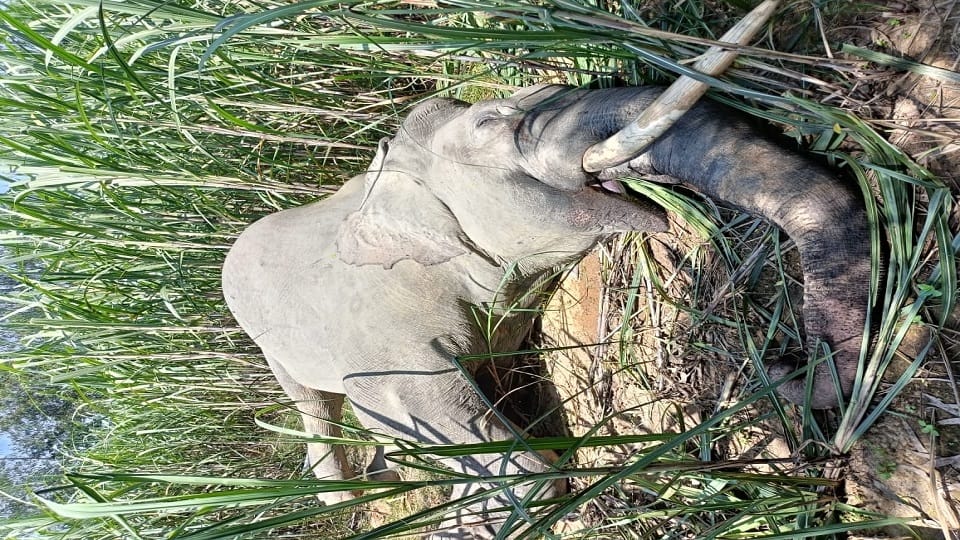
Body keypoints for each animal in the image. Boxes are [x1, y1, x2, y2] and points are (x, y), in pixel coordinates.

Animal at [221, 84, 870, 537]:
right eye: (489, 122)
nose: (783, 362)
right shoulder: (388, 350)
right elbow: (507, 459)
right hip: (267, 341)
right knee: (315, 404)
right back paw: (351, 495)